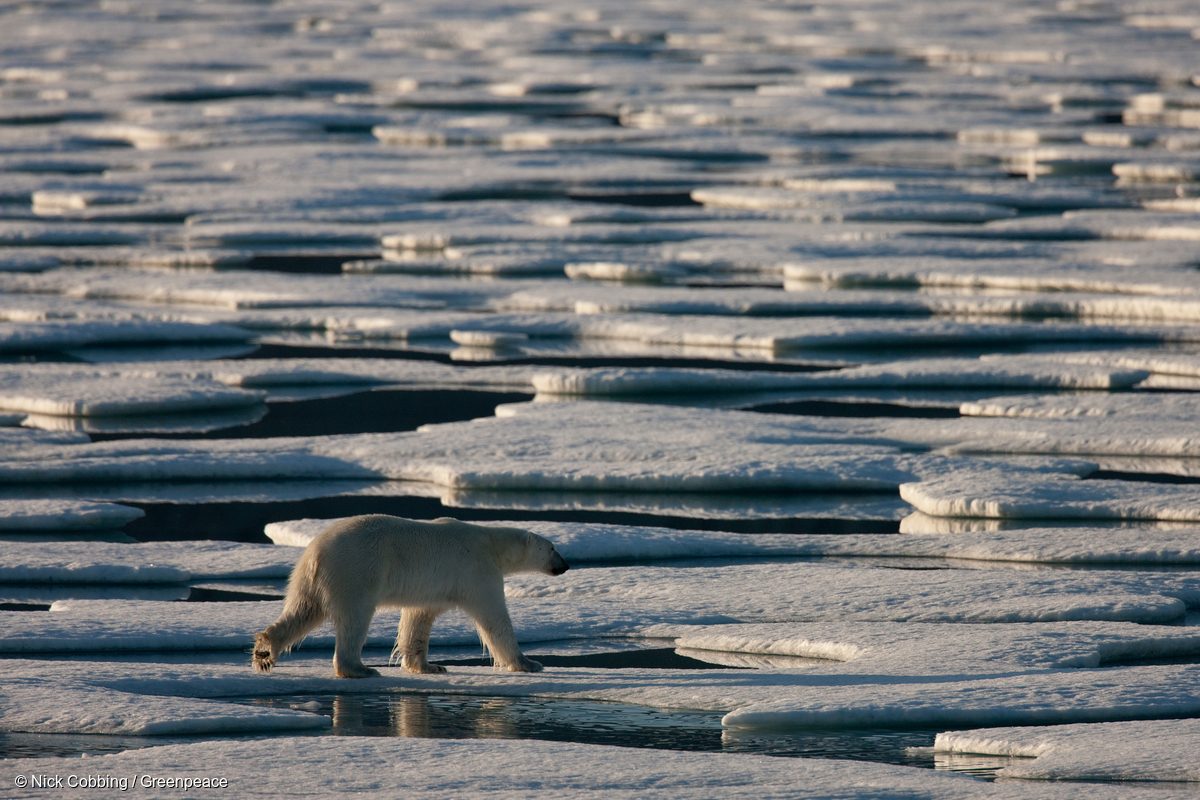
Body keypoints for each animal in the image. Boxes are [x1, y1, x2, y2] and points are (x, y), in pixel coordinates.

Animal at [252, 515, 569, 678]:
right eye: (553, 548)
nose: (565, 565)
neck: (490, 544)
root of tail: (316, 551)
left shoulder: (432, 590)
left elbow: (418, 619)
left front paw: (430, 666)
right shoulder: (477, 572)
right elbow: (495, 619)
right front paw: (528, 663)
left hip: (309, 579)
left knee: (303, 611)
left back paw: (265, 651)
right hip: (356, 571)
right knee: (354, 619)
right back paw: (360, 669)